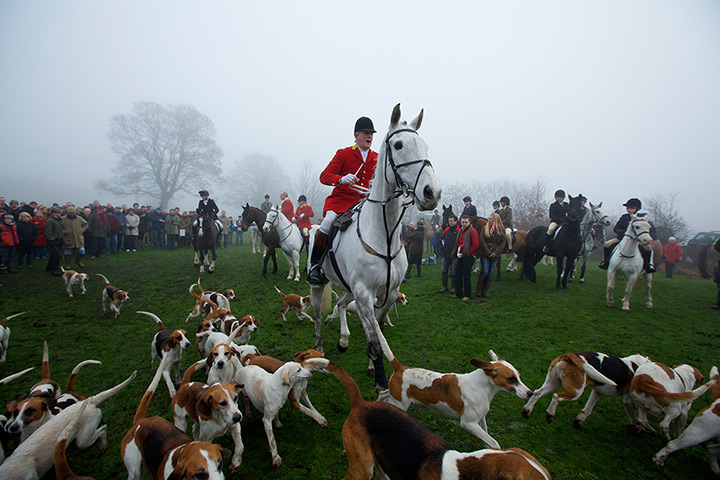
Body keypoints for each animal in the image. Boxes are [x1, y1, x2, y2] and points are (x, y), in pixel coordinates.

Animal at [308, 105, 442, 390]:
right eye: (399, 145)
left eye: (425, 146)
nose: (431, 193)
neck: (385, 235)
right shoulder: (364, 293)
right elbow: (374, 342)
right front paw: (380, 383)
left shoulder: (387, 294)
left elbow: (378, 336)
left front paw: (372, 368)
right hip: (320, 284)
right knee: (317, 314)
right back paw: (320, 348)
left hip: (349, 289)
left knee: (340, 305)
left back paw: (343, 340)